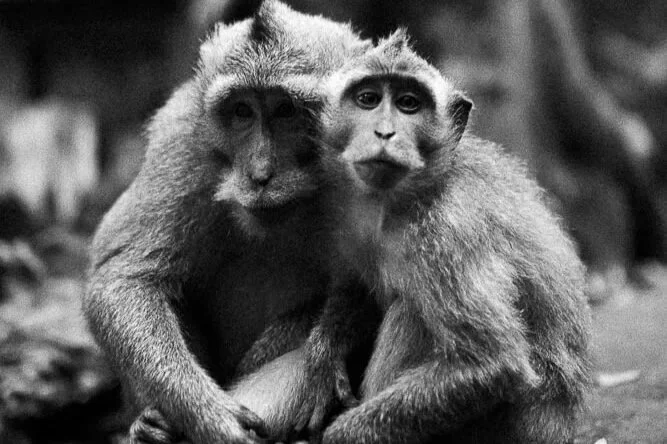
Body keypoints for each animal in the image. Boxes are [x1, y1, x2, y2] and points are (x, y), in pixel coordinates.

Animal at [83, 2, 371, 444]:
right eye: (242, 112)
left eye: (286, 111)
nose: (260, 173)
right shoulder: (184, 145)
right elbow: (124, 280)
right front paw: (209, 414)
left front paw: (327, 350)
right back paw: (150, 424)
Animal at [285, 29, 593, 444]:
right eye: (368, 99)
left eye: (408, 104)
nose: (384, 132)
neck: (405, 199)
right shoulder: (349, 209)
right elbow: (357, 287)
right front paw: (325, 355)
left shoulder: (450, 231)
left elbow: (493, 364)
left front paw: (339, 435)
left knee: (410, 311)